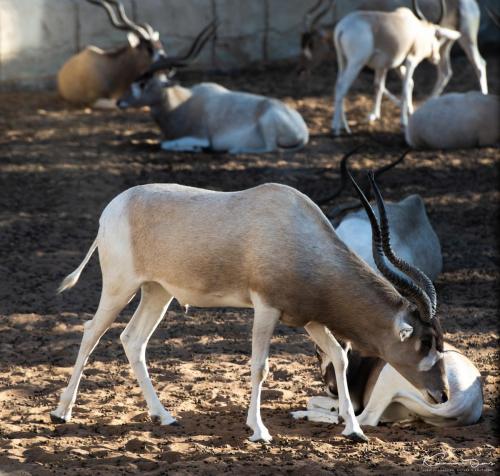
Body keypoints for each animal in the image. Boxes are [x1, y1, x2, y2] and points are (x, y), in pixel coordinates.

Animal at [51, 175, 450, 442]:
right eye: (424, 342)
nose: (442, 394)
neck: (301, 234)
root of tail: (113, 209)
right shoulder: (266, 308)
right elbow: (260, 366)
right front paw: (258, 430)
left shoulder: (308, 317)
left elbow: (338, 355)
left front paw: (353, 430)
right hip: (120, 286)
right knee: (91, 332)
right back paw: (61, 413)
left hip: (156, 293)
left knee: (133, 340)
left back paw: (163, 416)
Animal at [118, 31, 308, 152]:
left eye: (143, 83)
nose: (120, 102)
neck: (182, 103)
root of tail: (303, 130)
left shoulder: (200, 136)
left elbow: (164, 144)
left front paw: (195, 148)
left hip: (267, 122)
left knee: (271, 148)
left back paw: (236, 149)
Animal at [298, 0, 486, 97]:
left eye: (311, 43)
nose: (303, 70)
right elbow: (389, 83)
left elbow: (396, 83)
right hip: (444, 45)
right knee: (445, 71)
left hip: (467, 38)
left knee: (479, 65)